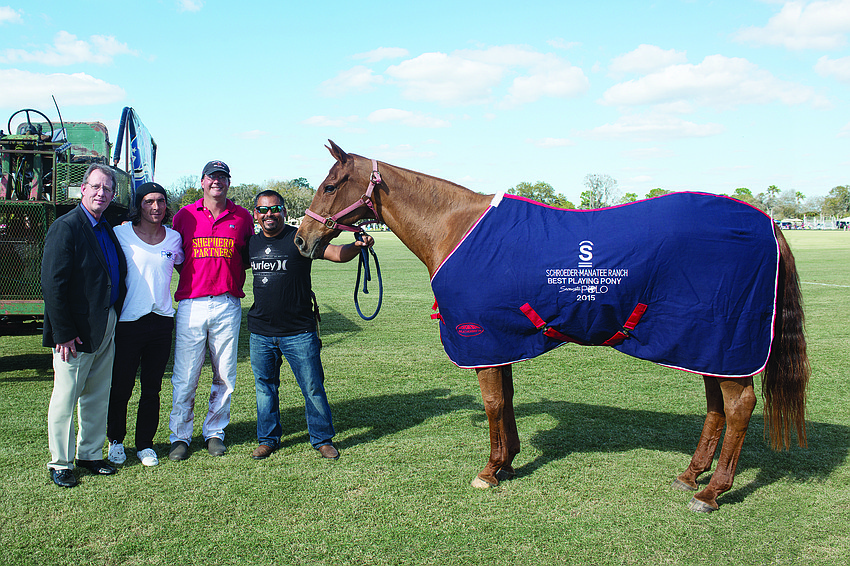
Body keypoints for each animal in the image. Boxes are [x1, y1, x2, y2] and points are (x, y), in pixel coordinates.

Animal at [294, 140, 810, 513]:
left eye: (330, 185)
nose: (302, 239)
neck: (455, 228)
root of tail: (767, 221)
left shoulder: (483, 339)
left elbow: (493, 402)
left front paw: (490, 469)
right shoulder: (501, 340)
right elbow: (506, 399)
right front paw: (508, 462)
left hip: (726, 340)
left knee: (739, 406)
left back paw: (711, 492)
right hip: (706, 346)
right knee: (717, 407)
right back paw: (690, 475)